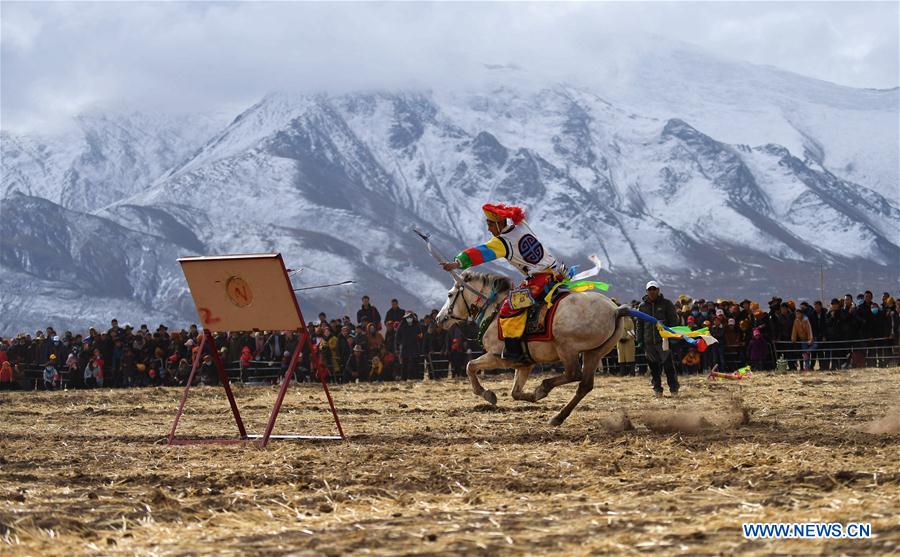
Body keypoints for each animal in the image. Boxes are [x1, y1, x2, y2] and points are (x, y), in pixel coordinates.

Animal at [434, 272, 628, 424]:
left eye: (450, 295)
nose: (439, 319)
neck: (494, 313)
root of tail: (615, 310)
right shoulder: (524, 365)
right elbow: (515, 392)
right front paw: (530, 397)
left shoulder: (497, 357)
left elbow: (470, 366)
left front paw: (487, 394)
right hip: (594, 353)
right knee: (584, 385)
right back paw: (558, 416)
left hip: (567, 348)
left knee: (574, 374)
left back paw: (544, 388)